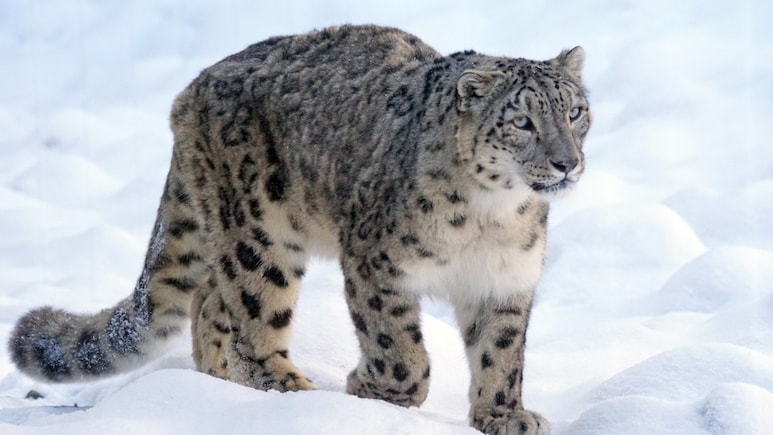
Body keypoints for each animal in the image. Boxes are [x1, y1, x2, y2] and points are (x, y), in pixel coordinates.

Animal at [8, 24, 591, 435]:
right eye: (522, 122)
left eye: (576, 111)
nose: (567, 163)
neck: (492, 216)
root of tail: (191, 90)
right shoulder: (377, 265)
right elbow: (399, 349)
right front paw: (373, 390)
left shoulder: (506, 279)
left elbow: (501, 353)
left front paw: (504, 415)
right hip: (259, 234)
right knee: (251, 315)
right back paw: (288, 391)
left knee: (210, 301)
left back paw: (218, 383)